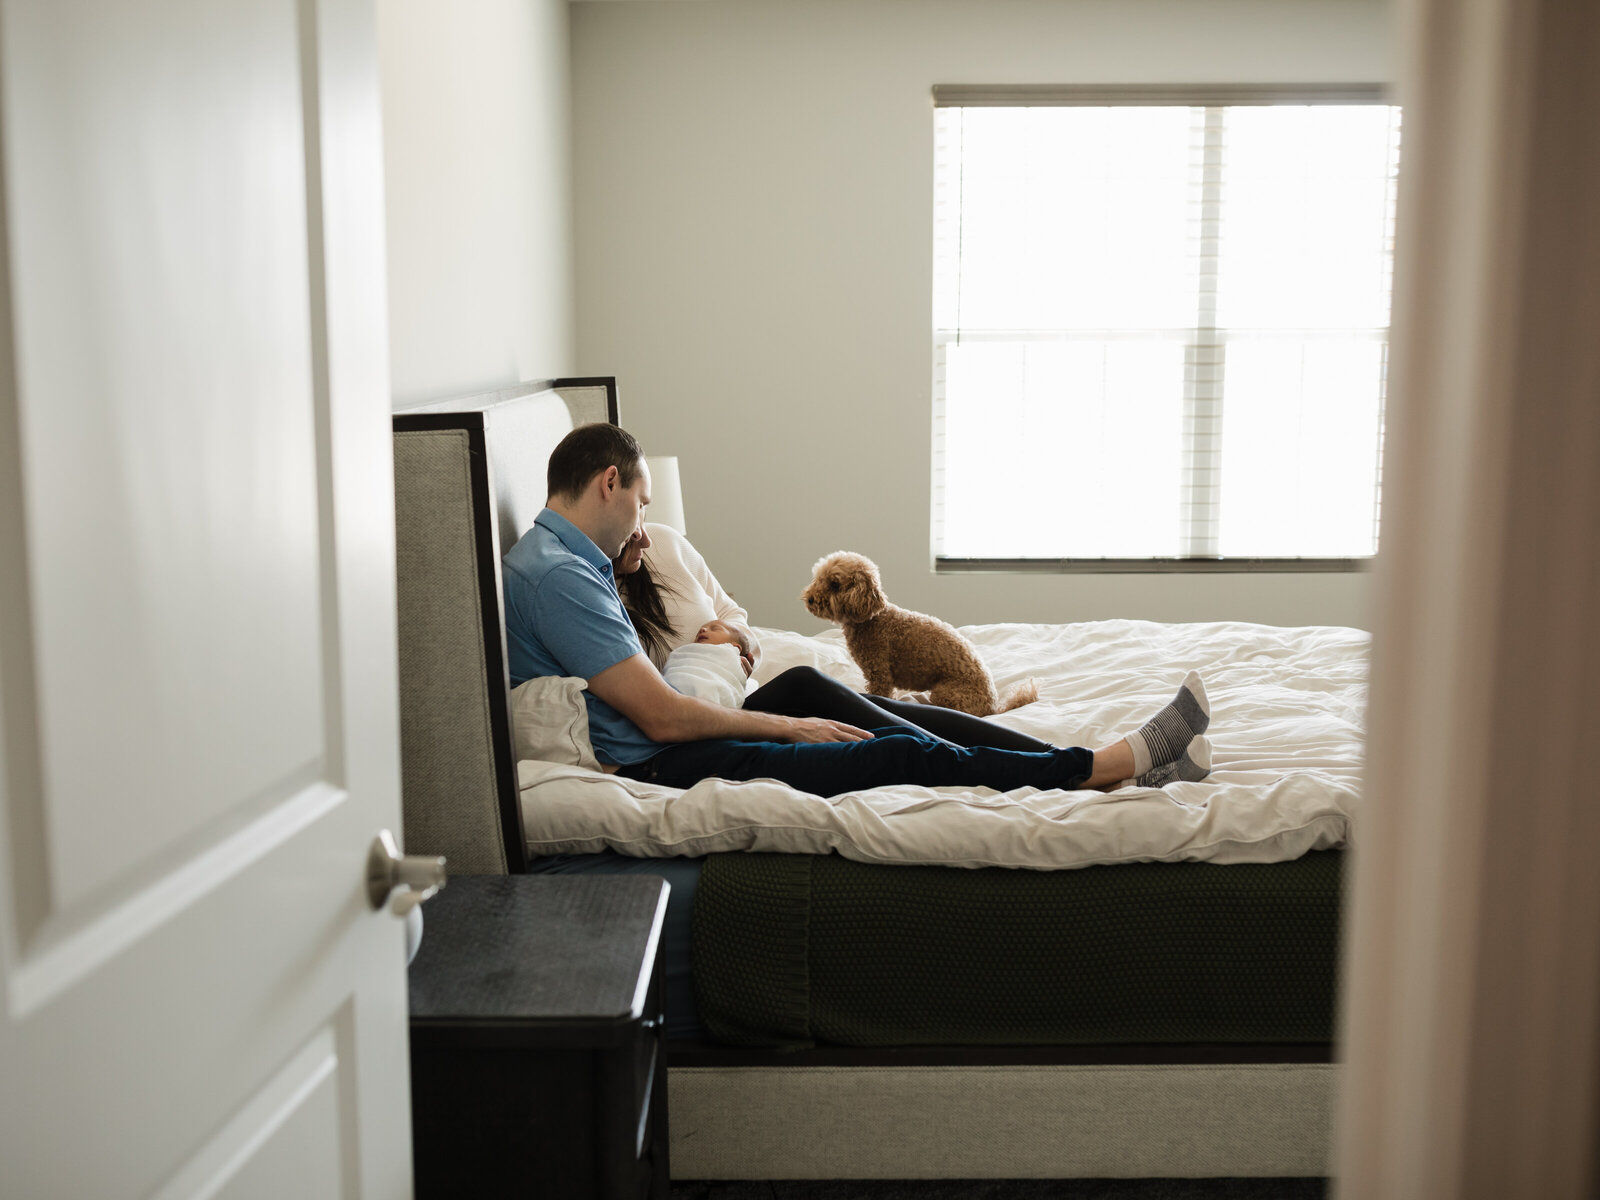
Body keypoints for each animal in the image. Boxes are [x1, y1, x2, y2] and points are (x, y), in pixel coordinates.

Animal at [800, 553, 1036, 720]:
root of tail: (993, 708)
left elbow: (880, 694)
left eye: (834, 584)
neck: (872, 618)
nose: (809, 599)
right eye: (818, 578)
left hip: (946, 693)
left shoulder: (879, 673)